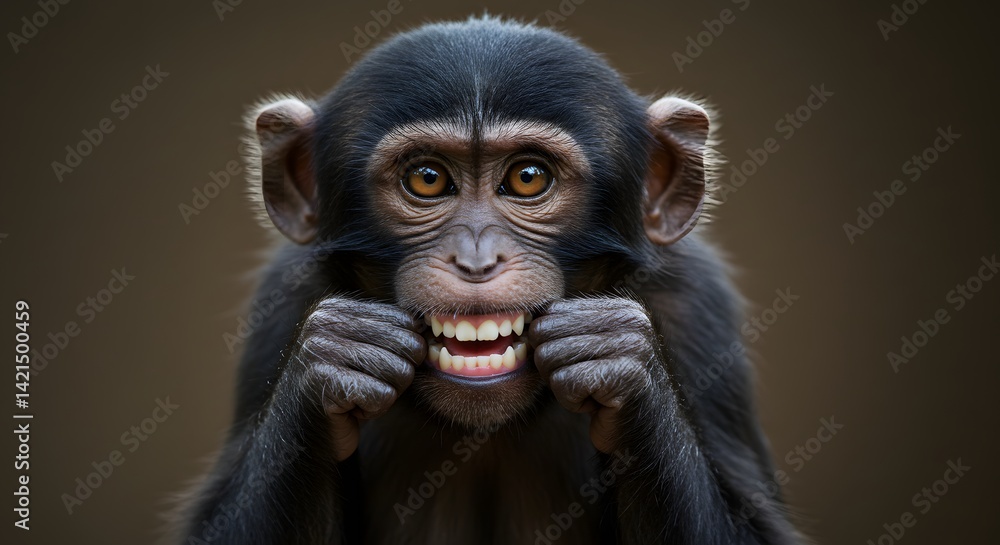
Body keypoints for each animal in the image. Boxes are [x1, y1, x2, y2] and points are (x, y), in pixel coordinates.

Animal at [175, 15, 804, 545]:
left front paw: (617, 353)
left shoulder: (696, 305)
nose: (476, 258)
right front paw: (336, 353)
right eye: (427, 179)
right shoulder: (283, 299)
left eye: (528, 178)